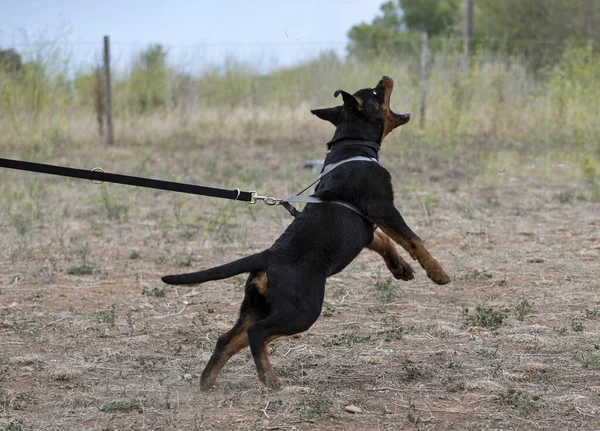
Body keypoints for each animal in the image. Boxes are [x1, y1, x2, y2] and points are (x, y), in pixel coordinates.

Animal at [162, 77, 448, 392]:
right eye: (375, 93)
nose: (386, 77)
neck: (353, 150)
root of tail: (267, 257)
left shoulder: (367, 230)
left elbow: (387, 243)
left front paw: (401, 269)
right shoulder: (384, 209)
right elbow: (413, 239)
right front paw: (437, 273)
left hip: (257, 306)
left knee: (228, 339)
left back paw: (208, 383)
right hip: (302, 310)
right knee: (256, 333)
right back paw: (271, 381)